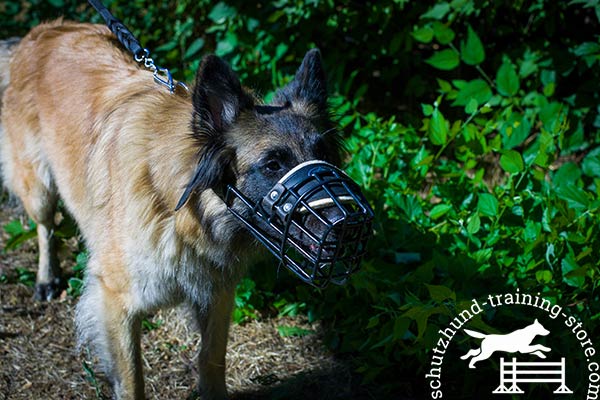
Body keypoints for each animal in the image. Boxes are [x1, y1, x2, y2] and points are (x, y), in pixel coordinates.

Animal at [0, 19, 342, 400]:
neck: (181, 213)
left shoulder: (216, 292)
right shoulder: (115, 302)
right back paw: (47, 278)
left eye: (324, 154)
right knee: (45, 226)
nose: (347, 223)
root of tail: (45, 30)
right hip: (39, 188)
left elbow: (211, 359)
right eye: (272, 165)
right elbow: (132, 381)